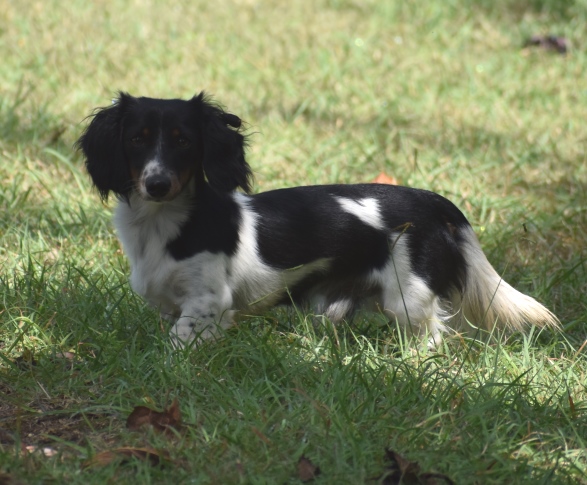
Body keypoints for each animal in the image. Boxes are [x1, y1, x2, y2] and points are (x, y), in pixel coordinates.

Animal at [76, 92, 560, 346]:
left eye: (183, 141)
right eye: (137, 139)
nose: (157, 184)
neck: (162, 225)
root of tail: (432, 201)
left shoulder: (206, 301)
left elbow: (181, 342)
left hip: (409, 298)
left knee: (430, 336)